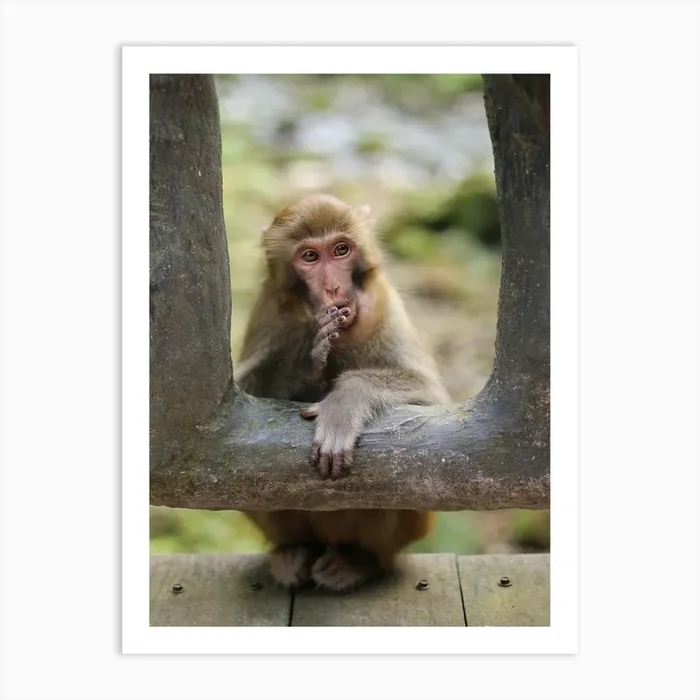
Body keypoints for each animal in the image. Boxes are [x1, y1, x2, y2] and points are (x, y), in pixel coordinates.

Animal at [235, 193, 450, 593]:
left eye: (341, 250)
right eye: (310, 257)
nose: (333, 289)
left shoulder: (383, 302)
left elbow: (431, 400)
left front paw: (344, 405)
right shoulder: (270, 308)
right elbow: (238, 400)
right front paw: (308, 360)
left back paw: (360, 561)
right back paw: (293, 551)